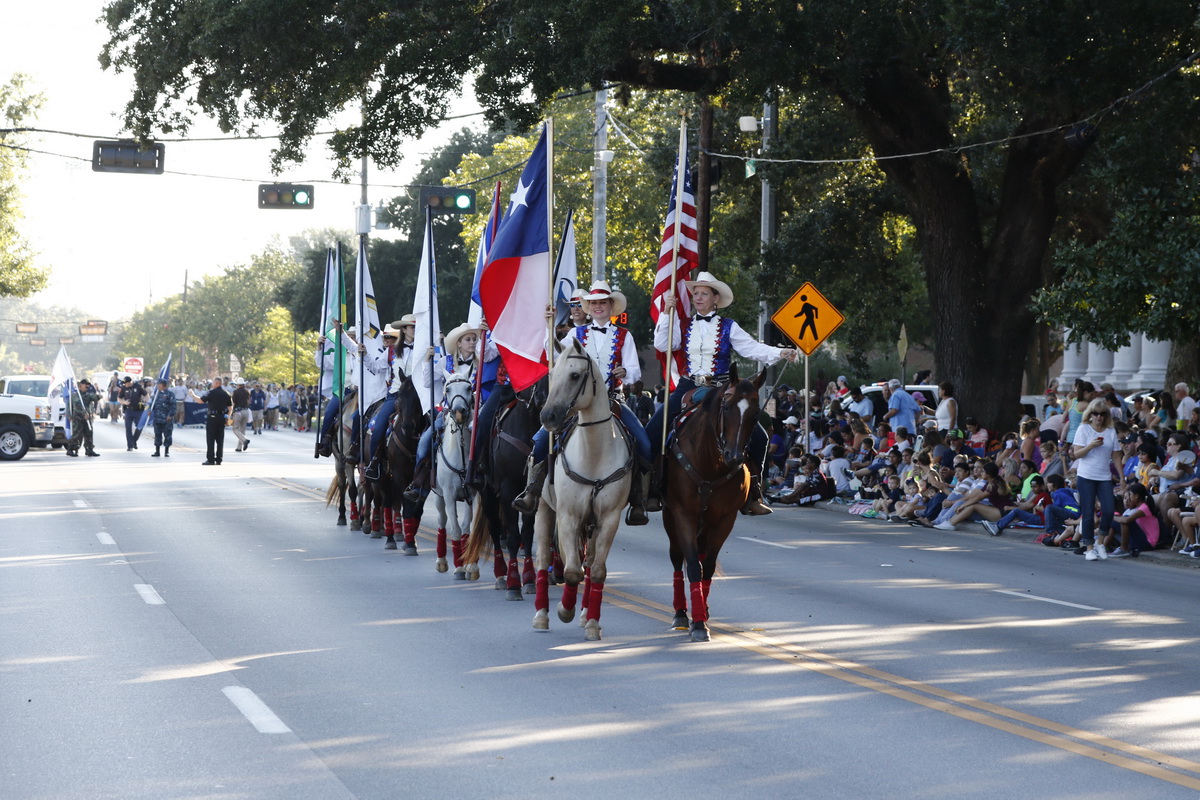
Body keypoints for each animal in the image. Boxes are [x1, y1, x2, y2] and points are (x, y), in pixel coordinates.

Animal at [463, 379, 549, 597]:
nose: (543, 397)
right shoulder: (508, 489)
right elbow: (512, 537)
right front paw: (513, 583)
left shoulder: (530, 496)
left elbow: (527, 533)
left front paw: (529, 579)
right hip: (488, 494)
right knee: (494, 529)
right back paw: (501, 575)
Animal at [530, 340, 633, 642]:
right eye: (552, 374)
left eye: (575, 375)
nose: (548, 416)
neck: (594, 452)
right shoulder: (568, 516)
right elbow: (572, 571)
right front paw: (564, 610)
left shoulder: (608, 519)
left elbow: (596, 571)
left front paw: (593, 624)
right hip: (543, 511)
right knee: (543, 559)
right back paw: (541, 615)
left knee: (589, 563)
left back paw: (586, 612)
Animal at [662, 367, 763, 642]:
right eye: (726, 407)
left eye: (755, 413)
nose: (735, 457)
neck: (711, 461)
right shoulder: (682, 514)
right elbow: (691, 564)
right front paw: (696, 623)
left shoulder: (724, 519)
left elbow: (706, 565)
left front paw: (702, 617)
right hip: (671, 518)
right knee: (677, 557)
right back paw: (680, 613)